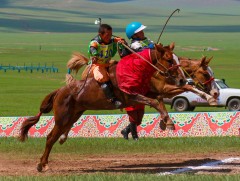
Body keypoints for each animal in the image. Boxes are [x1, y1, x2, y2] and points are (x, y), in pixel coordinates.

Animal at [18, 43, 186, 172]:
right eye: (169, 59)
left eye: (176, 58)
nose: (182, 80)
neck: (133, 69)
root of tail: (60, 91)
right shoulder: (131, 96)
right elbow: (155, 101)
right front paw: (166, 121)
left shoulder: (144, 92)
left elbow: (158, 99)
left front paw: (167, 122)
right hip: (62, 118)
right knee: (50, 138)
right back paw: (42, 164)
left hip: (74, 115)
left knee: (59, 134)